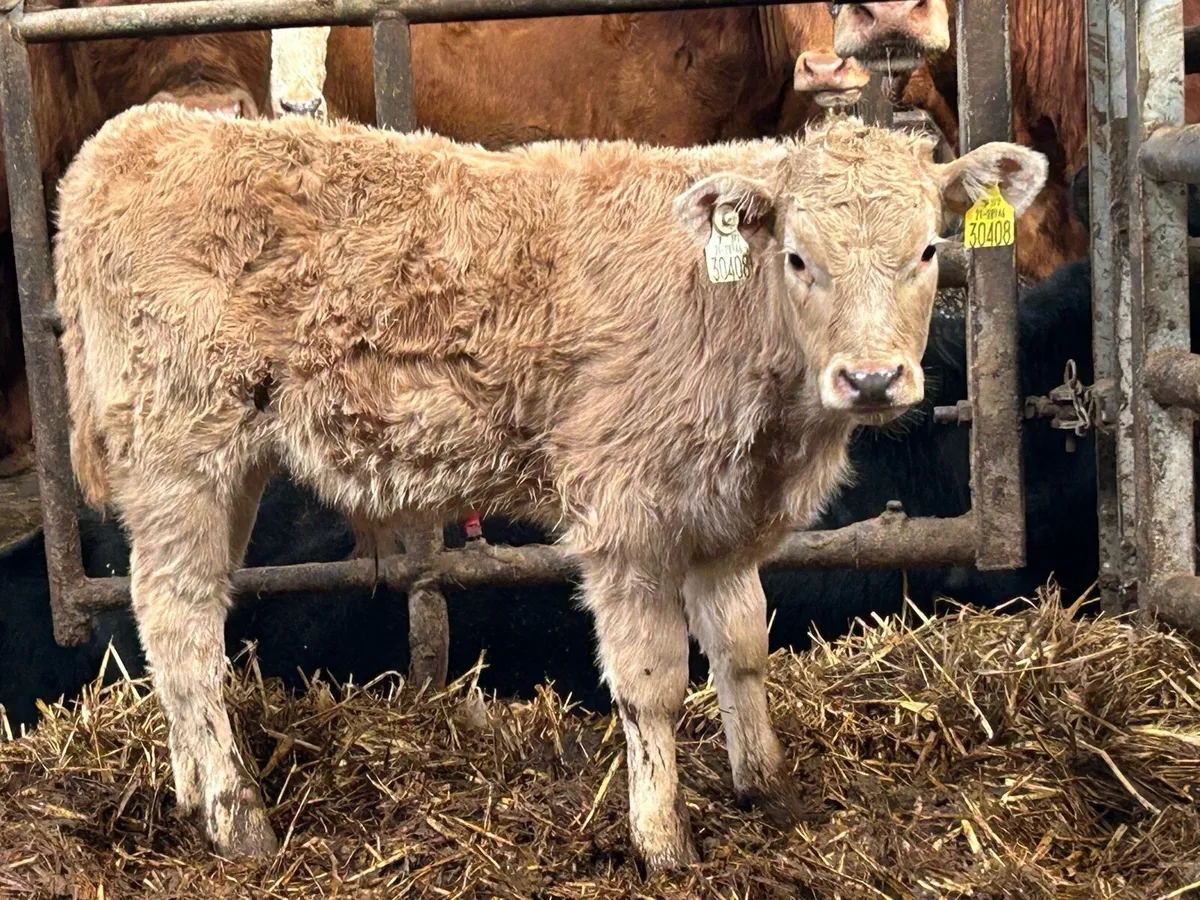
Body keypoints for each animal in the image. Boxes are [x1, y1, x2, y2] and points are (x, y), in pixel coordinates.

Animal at [51, 103, 1046, 866]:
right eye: (799, 257)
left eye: (929, 249)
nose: (872, 379)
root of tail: (137, 135)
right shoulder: (625, 513)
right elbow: (653, 681)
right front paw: (663, 843)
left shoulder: (725, 519)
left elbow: (742, 646)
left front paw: (764, 788)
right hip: (182, 449)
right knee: (181, 624)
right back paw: (239, 822)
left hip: (230, 463)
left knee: (172, 618)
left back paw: (192, 794)